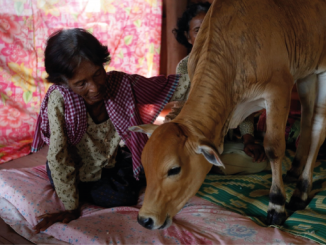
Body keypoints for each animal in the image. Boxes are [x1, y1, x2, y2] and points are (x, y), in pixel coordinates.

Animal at [129, 0, 326, 229]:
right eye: (145, 164)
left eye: (174, 169)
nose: (145, 219)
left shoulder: (279, 90)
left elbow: (273, 148)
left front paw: (276, 206)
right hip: (306, 71)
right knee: (306, 118)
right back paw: (294, 170)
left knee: (317, 129)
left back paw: (301, 192)